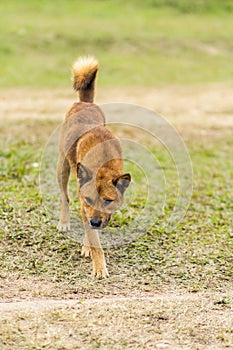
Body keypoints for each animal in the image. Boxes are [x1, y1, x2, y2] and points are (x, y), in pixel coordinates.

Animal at [55, 56, 130, 278]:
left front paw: (87, 246)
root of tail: (84, 102)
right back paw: (64, 223)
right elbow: (95, 241)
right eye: (90, 199)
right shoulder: (84, 205)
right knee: (64, 197)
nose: (95, 223)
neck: (103, 166)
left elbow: (91, 233)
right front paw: (99, 267)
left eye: (108, 200)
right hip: (62, 167)